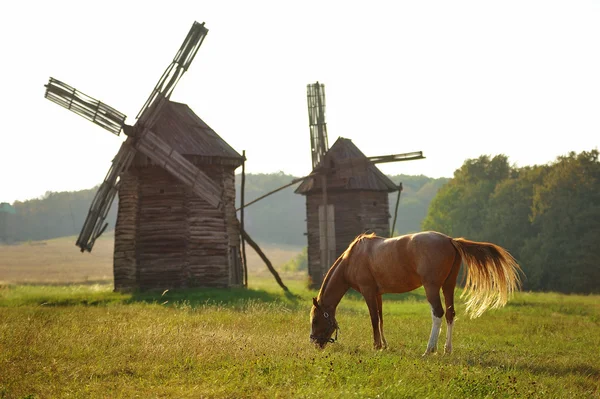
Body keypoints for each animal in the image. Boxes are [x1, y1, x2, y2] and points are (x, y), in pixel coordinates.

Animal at [312, 231, 524, 356]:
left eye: (315, 320)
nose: (315, 343)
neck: (353, 258)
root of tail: (450, 240)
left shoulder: (368, 292)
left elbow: (373, 319)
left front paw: (377, 346)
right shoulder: (378, 294)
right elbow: (381, 319)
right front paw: (384, 345)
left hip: (431, 288)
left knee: (438, 314)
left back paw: (429, 350)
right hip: (448, 286)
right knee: (450, 314)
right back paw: (447, 349)